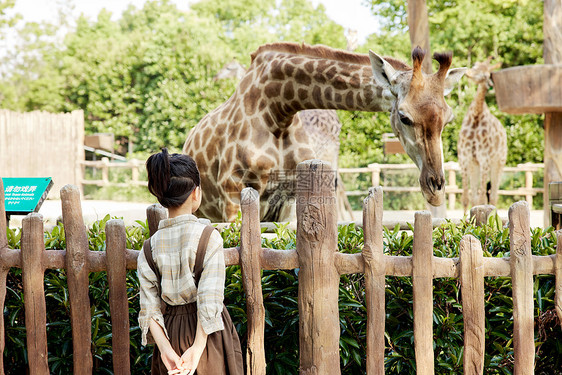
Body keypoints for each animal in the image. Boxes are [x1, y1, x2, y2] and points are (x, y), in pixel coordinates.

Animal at [184, 43, 464, 223]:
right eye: (404, 117)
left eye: (448, 119)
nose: (436, 190)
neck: (277, 109)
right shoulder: (231, 196)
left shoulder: (287, 201)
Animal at [458, 58, 506, 212]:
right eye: (475, 66)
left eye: (486, 74)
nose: (468, 73)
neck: (476, 117)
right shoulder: (465, 158)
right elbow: (466, 199)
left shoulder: (485, 159)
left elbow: (482, 198)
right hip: (475, 164)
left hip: (498, 162)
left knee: (493, 195)